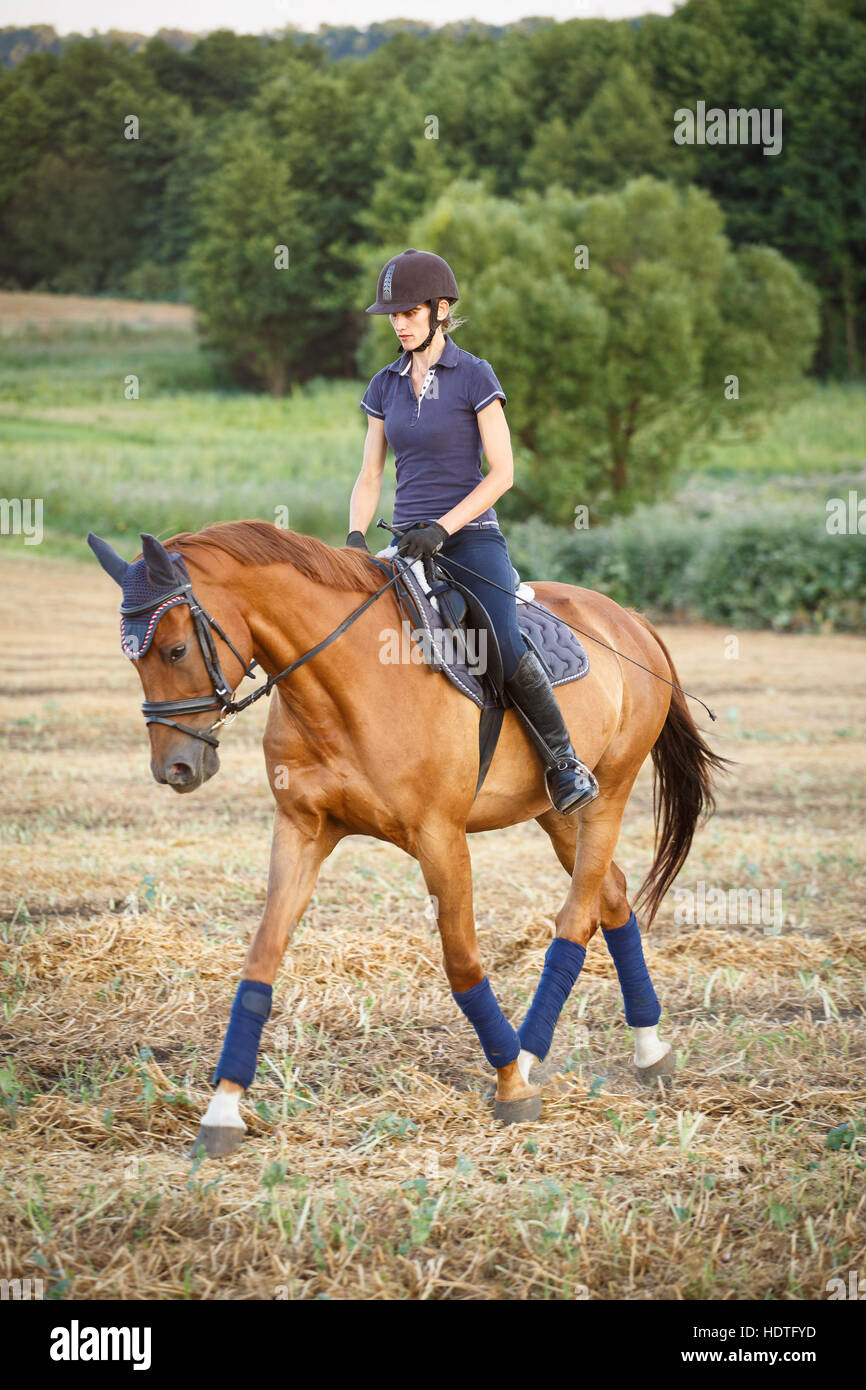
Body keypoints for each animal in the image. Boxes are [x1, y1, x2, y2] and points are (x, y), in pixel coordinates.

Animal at [87, 521, 728, 1157]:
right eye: (134, 660)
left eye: (175, 649)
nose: (174, 769)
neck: (343, 681)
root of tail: (629, 619)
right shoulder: (301, 830)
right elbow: (261, 959)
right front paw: (222, 1110)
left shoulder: (440, 836)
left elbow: (463, 963)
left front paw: (510, 1087)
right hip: (555, 812)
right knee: (612, 896)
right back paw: (648, 1049)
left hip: (609, 792)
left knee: (576, 916)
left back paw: (529, 1054)